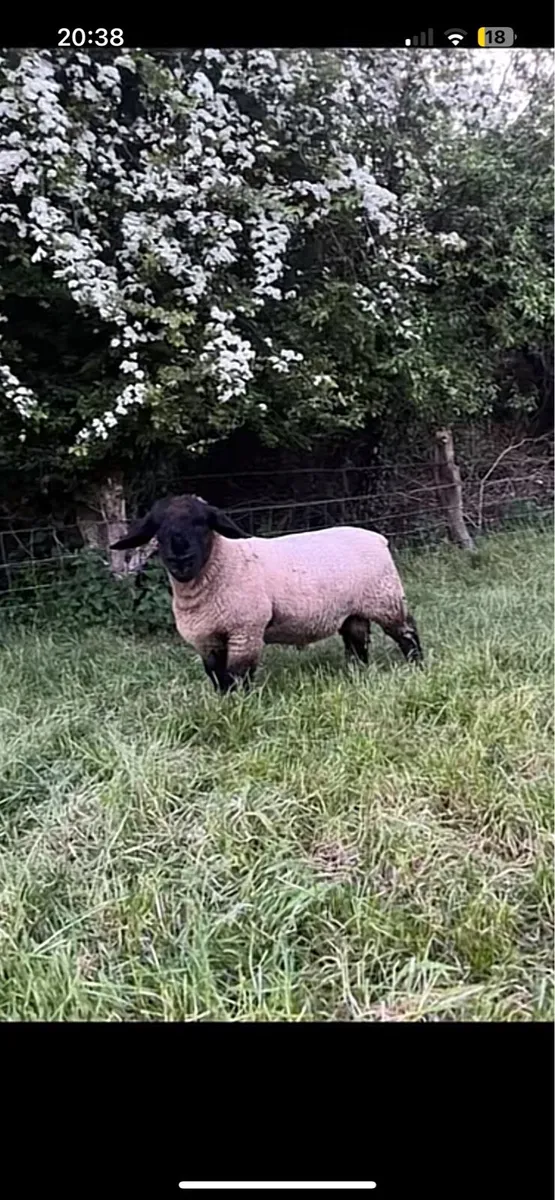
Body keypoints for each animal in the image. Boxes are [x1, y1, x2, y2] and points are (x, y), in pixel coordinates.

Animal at [111, 494, 423, 693]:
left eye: (202, 524)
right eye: (158, 529)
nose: (180, 558)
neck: (223, 564)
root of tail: (377, 538)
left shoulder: (245, 630)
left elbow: (239, 674)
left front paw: (241, 704)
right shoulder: (206, 639)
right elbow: (217, 676)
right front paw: (224, 702)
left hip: (386, 598)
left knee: (406, 632)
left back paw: (417, 666)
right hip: (353, 610)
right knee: (357, 641)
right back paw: (357, 672)